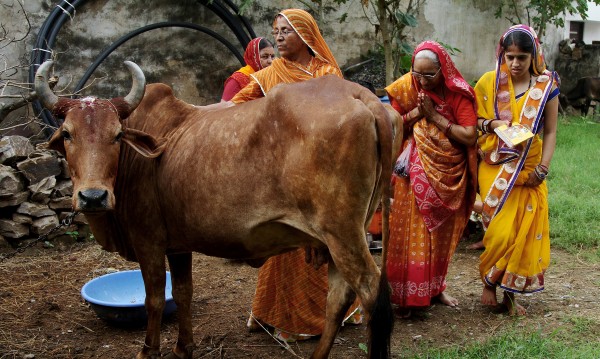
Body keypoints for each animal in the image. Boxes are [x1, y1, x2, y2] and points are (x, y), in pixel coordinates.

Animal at [35, 60, 400, 358]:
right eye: (67, 134)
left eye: (117, 135)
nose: (93, 197)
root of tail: (361, 96)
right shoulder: (177, 246)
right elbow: (183, 293)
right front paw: (183, 348)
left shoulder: (148, 241)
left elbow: (154, 299)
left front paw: (148, 351)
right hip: (343, 235)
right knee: (338, 299)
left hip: (342, 233)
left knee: (371, 293)